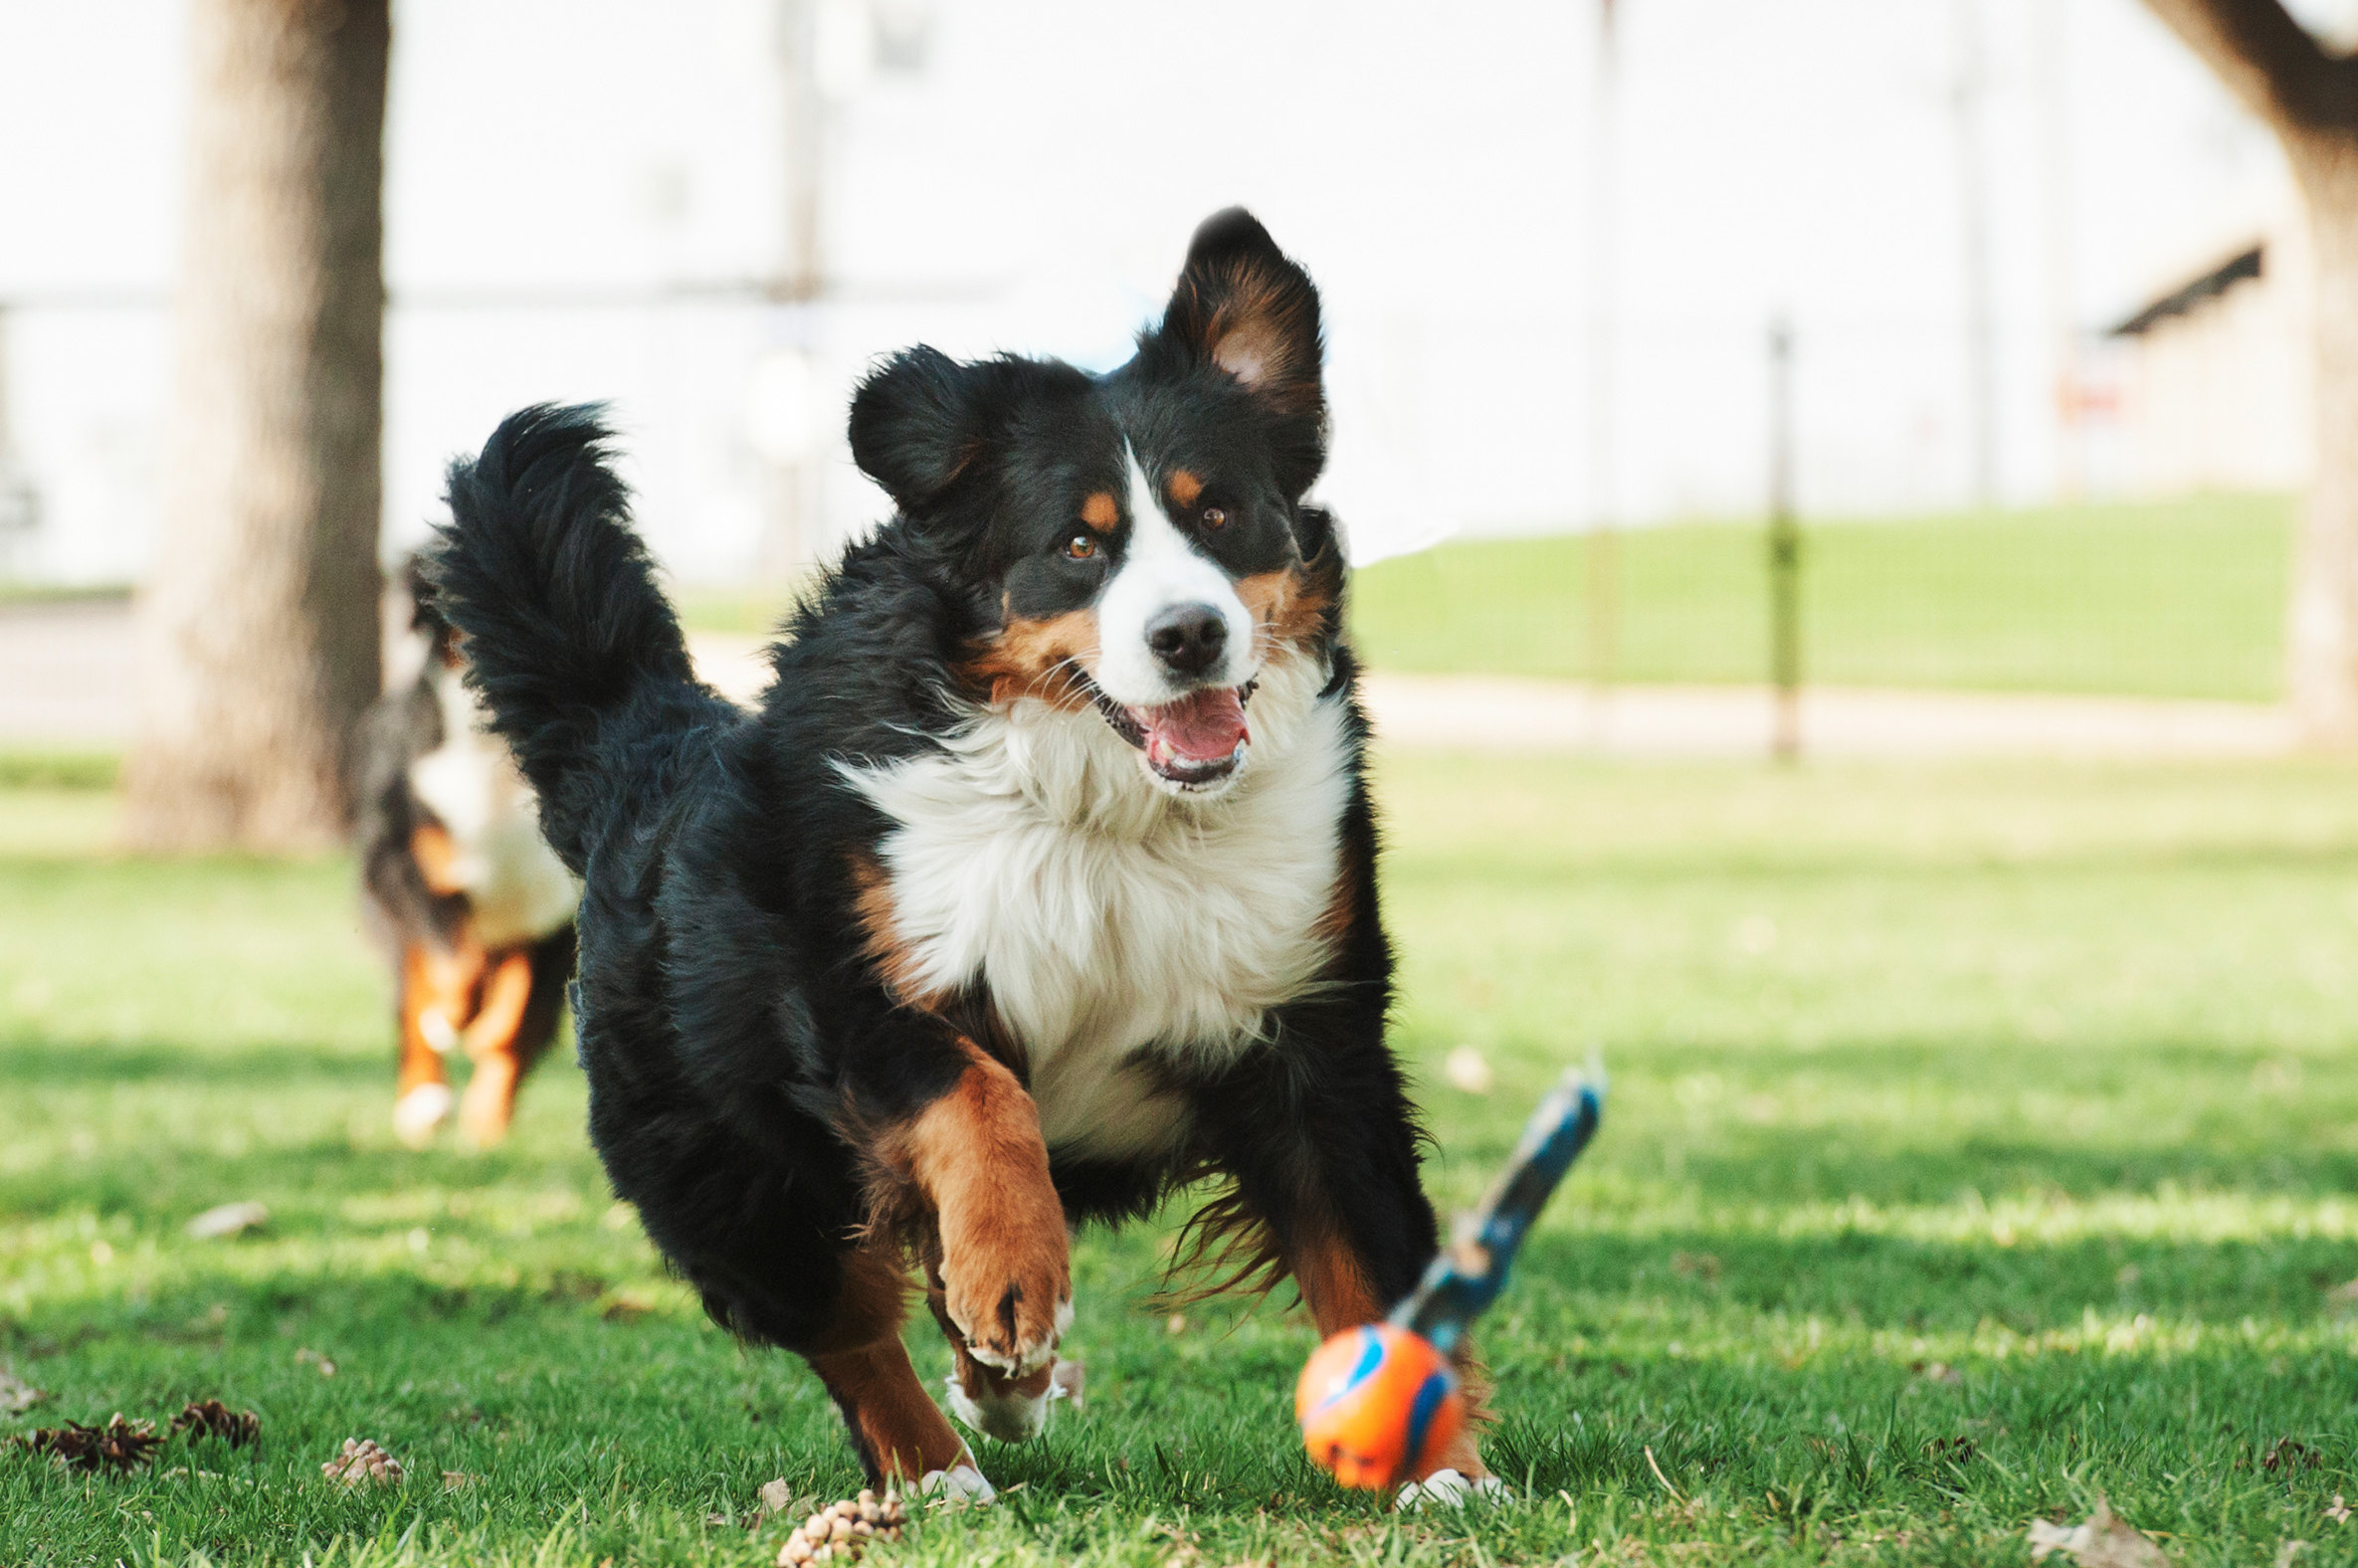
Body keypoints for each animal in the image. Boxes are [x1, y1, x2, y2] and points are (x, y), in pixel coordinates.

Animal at [422, 211, 1489, 1508]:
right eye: (1079, 543)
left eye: (1223, 515)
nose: (1189, 634)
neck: (1115, 819)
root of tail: (647, 745)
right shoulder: (859, 986)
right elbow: (981, 1099)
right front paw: (1014, 1274)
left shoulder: (1310, 1029)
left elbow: (1371, 1256)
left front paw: (1442, 1474)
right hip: (735, 1184)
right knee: (845, 1329)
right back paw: (936, 1470)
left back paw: (999, 1390)